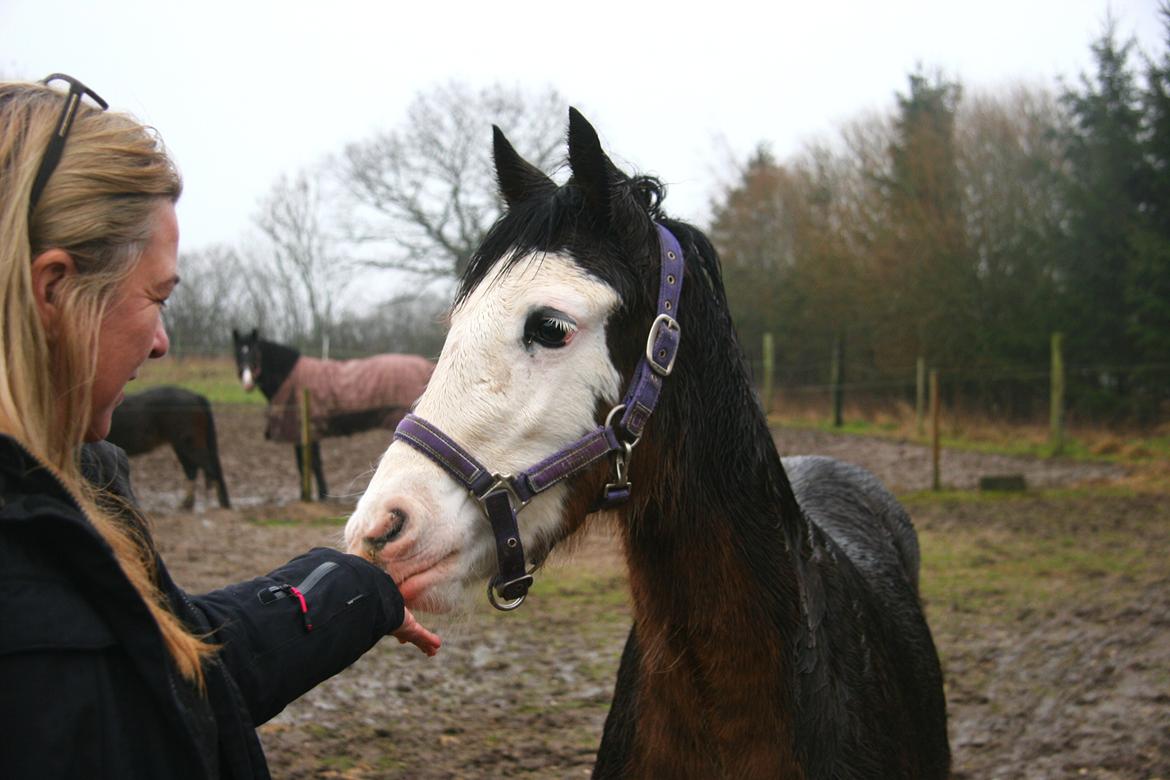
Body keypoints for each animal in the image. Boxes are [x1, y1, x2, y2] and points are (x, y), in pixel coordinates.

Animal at [230, 329, 432, 500]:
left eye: (254, 352)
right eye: (238, 353)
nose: (247, 382)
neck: (291, 378)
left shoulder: (307, 431)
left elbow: (312, 464)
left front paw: (318, 495)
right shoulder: (303, 433)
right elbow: (305, 464)